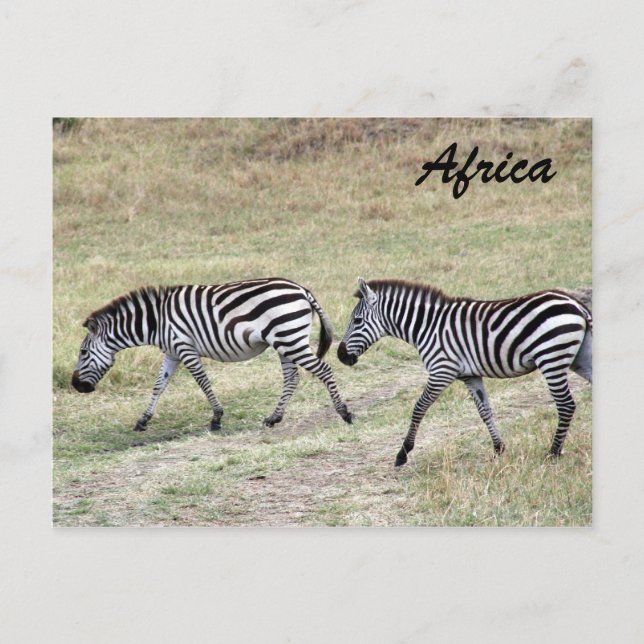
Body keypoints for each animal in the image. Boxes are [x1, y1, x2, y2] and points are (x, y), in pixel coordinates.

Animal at [72, 278, 353, 432]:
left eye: (83, 352)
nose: (76, 386)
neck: (155, 322)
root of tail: (301, 289)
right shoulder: (172, 353)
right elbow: (158, 386)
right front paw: (143, 420)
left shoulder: (185, 348)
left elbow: (203, 382)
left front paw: (216, 418)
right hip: (285, 340)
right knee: (292, 378)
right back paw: (274, 418)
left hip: (290, 338)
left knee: (323, 370)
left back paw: (344, 413)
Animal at [337, 278, 592, 467]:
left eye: (357, 321)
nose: (340, 355)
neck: (427, 327)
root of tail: (576, 304)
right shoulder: (470, 376)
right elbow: (484, 411)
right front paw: (498, 448)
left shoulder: (442, 371)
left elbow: (419, 408)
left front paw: (403, 453)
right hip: (579, 358)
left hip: (551, 358)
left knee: (566, 404)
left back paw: (553, 453)